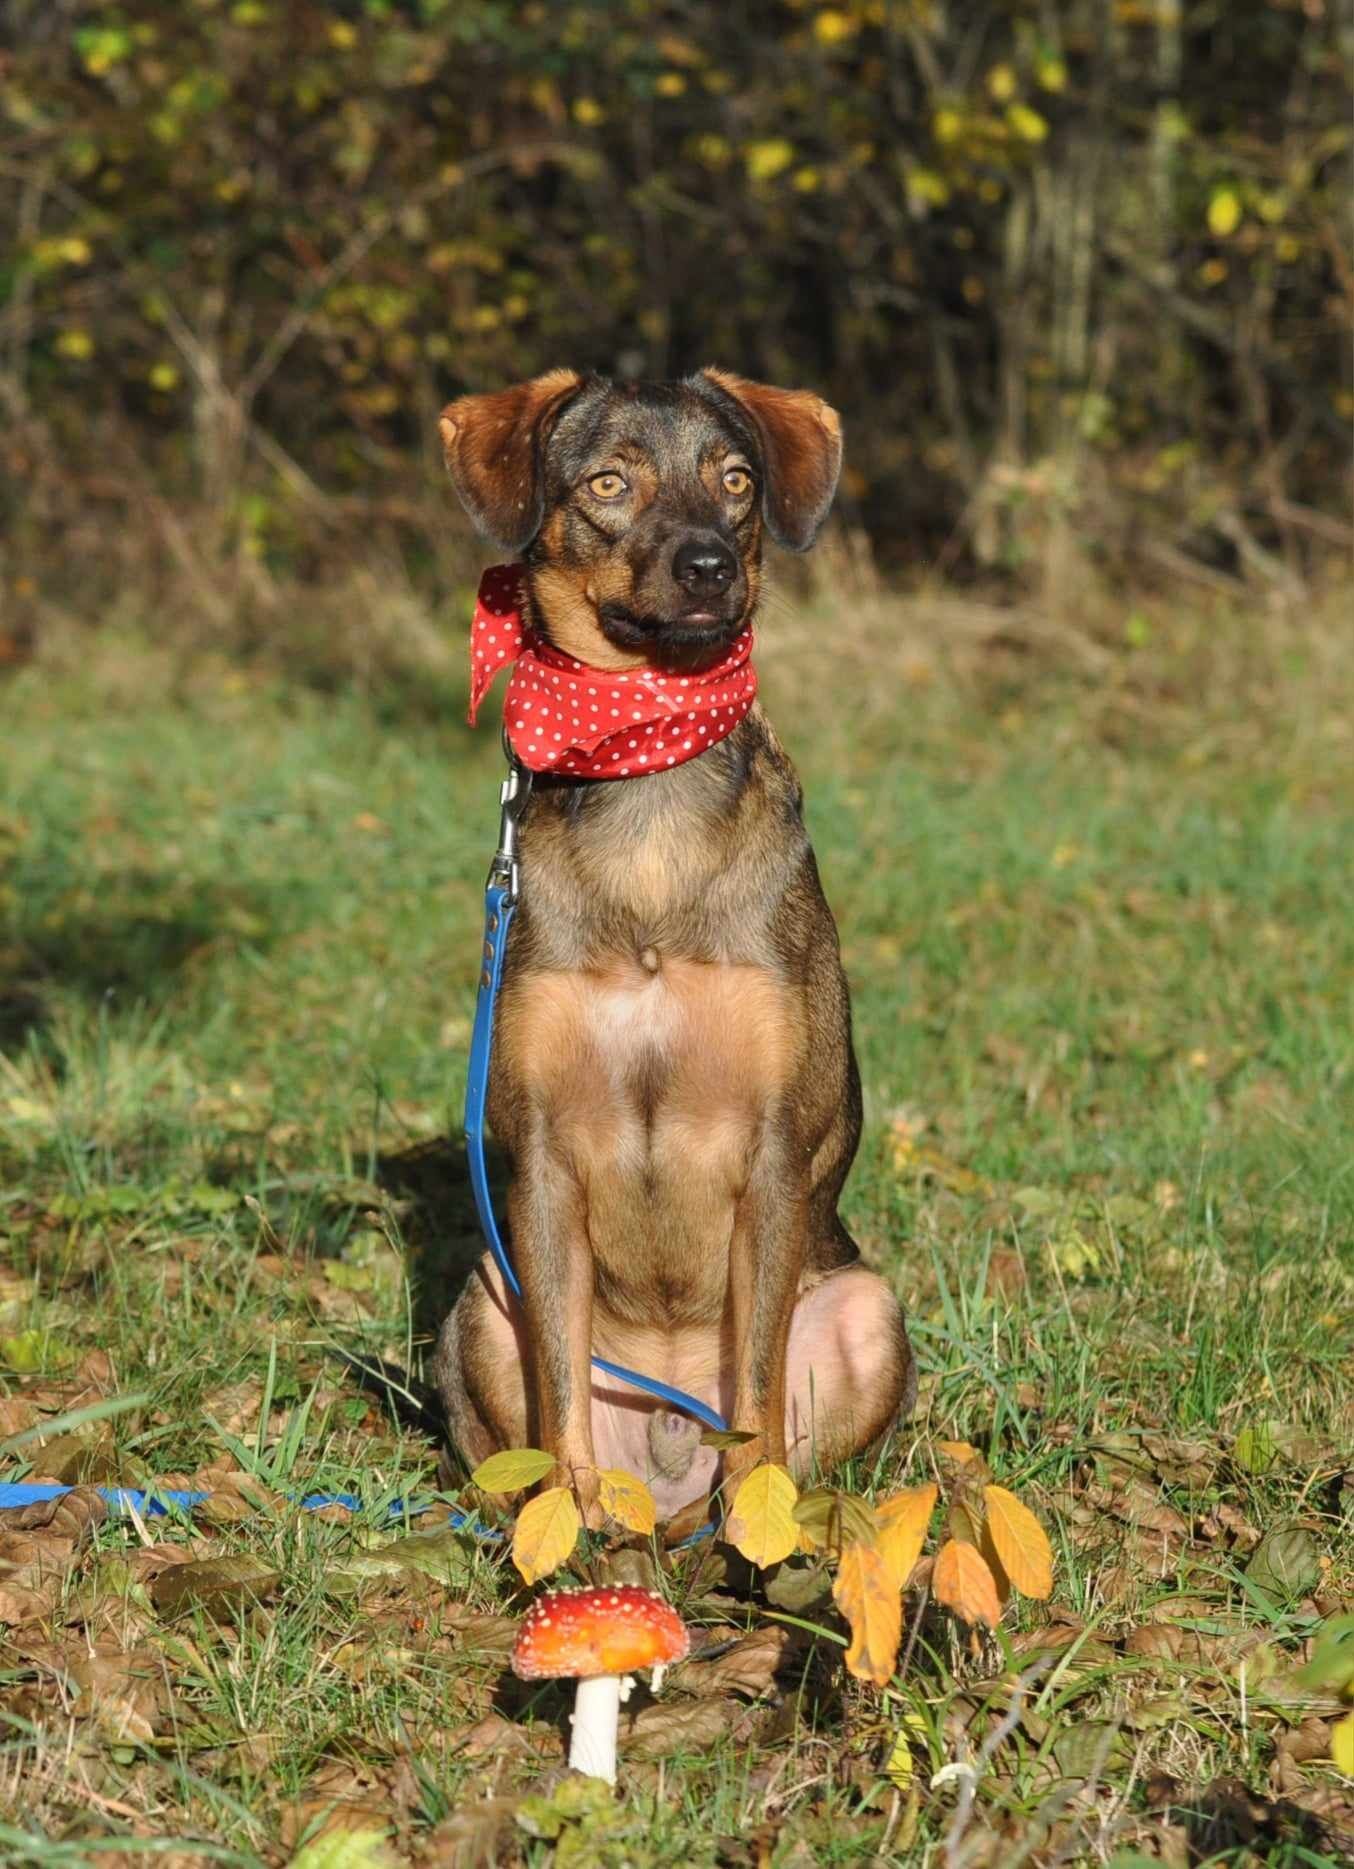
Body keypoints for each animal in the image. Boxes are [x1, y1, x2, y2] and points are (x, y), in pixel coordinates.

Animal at [430, 368, 920, 1532]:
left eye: (735, 481)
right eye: (609, 482)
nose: (706, 566)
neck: (646, 783)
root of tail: (662, 1469)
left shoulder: (777, 1149)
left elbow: (757, 1385)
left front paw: (761, 1531)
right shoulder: (542, 1161)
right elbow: (561, 1381)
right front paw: (564, 1525)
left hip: (867, 1307)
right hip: (481, 1295)